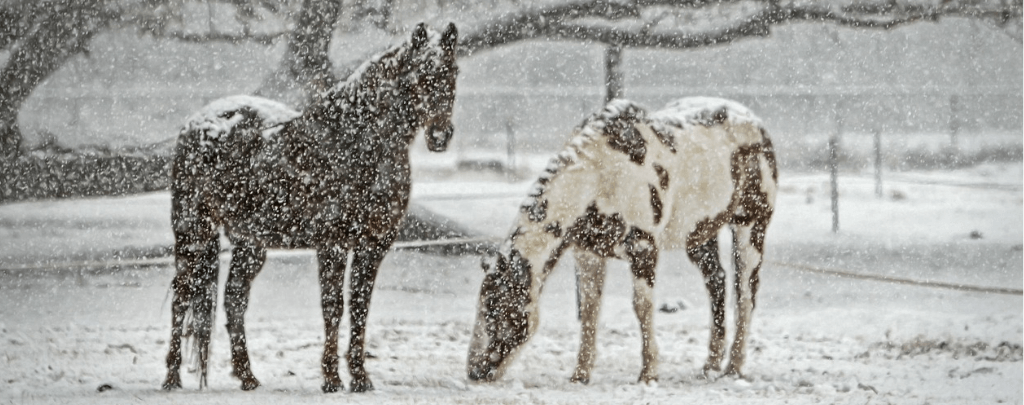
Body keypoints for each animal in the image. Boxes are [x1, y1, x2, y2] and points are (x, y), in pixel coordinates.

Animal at [161, 22, 458, 392]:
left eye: (453, 72)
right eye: (420, 74)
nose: (440, 135)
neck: (357, 141)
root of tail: (198, 123)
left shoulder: (373, 245)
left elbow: (360, 307)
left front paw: (360, 377)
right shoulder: (333, 243)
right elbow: (333, 307)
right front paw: (331, 377)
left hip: (250, 244)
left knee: (234, 299)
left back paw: (247, 376)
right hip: (193, 232)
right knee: (182, 295)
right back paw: (172, 377)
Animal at [466, 98, 774, 386]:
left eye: (496, 309)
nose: (474, 372)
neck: (600, 176)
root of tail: (756, 123)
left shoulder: (643, 249)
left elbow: (642, 307)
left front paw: (648, 374)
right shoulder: (588, 253)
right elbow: (590, 310)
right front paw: (580, 374)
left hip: (750, 227)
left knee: (745, 294)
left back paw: (734, 367)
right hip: (700, 235)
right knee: (717, 283)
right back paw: (710, 366)